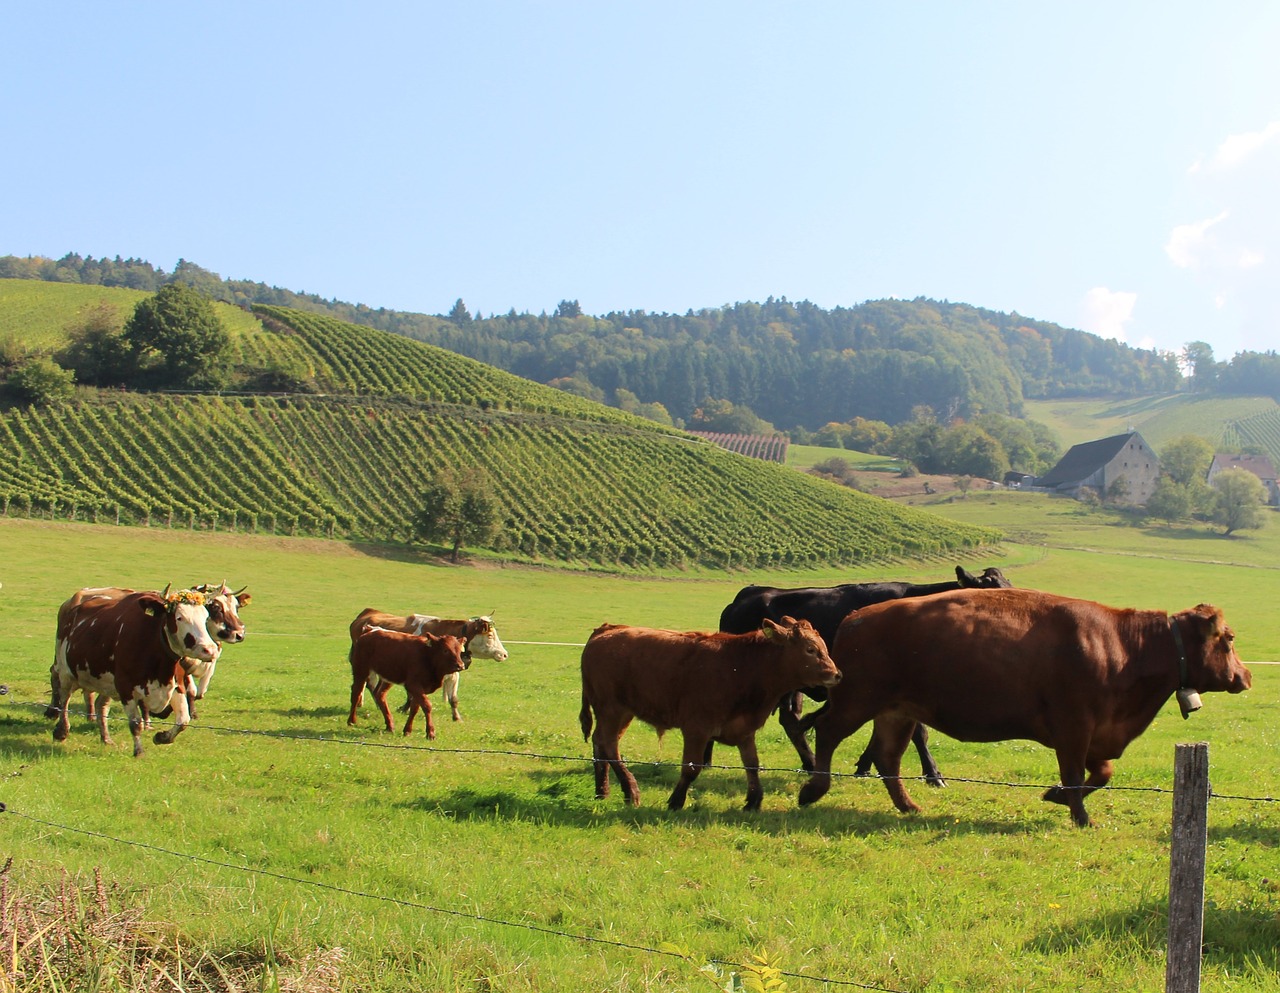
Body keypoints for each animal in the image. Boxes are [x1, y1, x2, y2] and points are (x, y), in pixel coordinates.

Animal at [48, 586, 217, 757]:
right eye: (180, 618)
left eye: (205, 617)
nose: (209, 649)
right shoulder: (126, 688)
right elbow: (136, 723)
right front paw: (139, 751)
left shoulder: (177, 685)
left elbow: (183, 721)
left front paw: (162, 737)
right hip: (65, 671)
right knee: (64, 698)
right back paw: (61, 730)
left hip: (107, 683)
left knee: (100, 705)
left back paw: (106, 738)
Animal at [353, 603, 512, 721]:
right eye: (490, 635)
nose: (504, 654)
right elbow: (413, 695)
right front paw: (405, 709)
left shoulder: (453, 674)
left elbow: (453, 698)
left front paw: (457, 718)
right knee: (368, 685)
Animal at [721, 565, 1008, 783]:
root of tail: (747, 594)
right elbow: (918, 733)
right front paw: (933, 774)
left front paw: (864, 766)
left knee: (791, 721)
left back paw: (811, 763)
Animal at [793, 586, 1254, 824]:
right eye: (1229, 639)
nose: (1246, 676)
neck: (1125, 645)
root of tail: (856, 616)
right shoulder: (1074, 729)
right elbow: (1077, 776)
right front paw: (1079, 816)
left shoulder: (1094, 736)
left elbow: (1101, 773)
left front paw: (1055, 797)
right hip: (858, 701)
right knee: (827, 732)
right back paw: (813, 790)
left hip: (898, 712)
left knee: (888, 757)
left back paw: (908, 807)